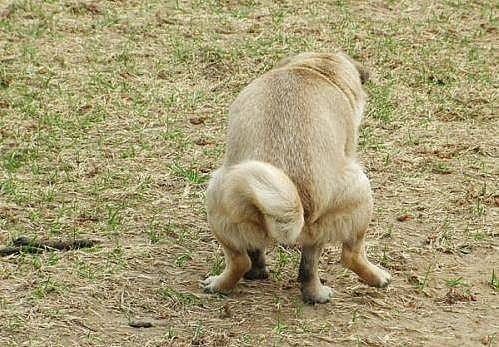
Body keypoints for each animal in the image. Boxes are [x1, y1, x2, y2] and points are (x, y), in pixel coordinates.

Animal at [202, 51, 390, 304]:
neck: (316, 70)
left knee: (260, 262)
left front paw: (258, 272)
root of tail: (296, 204)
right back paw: (377, 277)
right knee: (350, 255)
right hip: (362, 194)